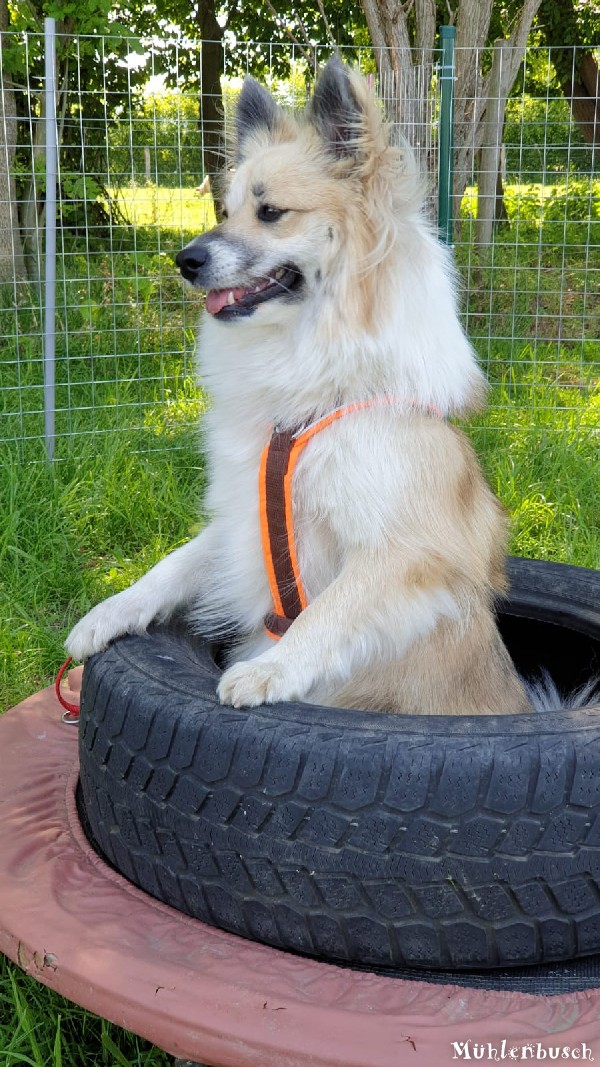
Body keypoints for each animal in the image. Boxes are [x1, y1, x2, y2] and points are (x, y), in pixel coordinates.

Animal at [65, 54, 531, 712]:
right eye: (226, 211)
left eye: (271, 213)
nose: (185, 261)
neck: (313, 391)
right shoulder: (243, 514)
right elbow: (173, 564)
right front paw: (108, 613)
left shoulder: (406, 547)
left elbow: (329, 612)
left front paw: (270, 669)